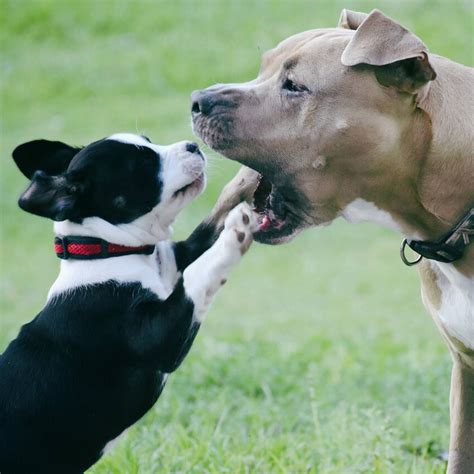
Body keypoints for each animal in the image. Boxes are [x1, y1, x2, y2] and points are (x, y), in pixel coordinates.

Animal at [0, 131, 258, 472]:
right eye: (143, 163)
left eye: (148, 141)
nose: (192, 145)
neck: (109, 251)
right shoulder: (159, 335)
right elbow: (200, 273)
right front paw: (236, 231)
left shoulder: (175, 259)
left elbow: (205, 231)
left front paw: (244, 180)